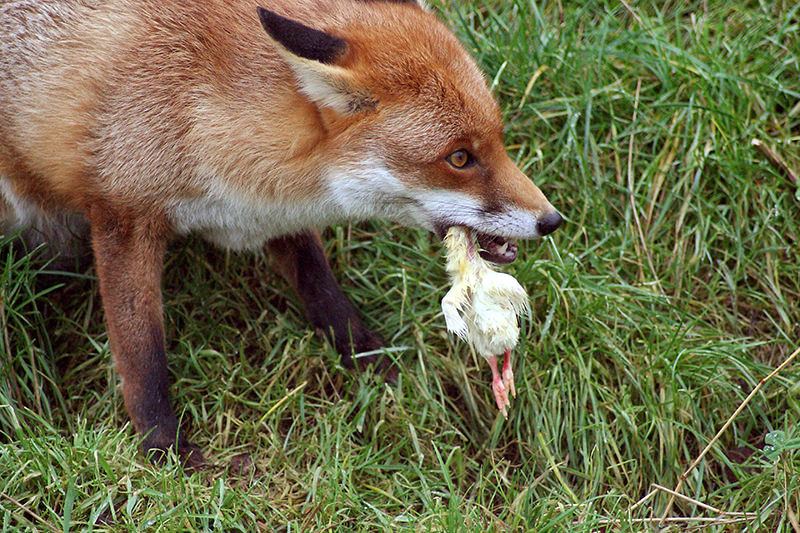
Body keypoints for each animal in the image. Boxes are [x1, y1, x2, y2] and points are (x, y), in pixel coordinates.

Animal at [0, 0, 562, 466]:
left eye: (498, 140)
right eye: (460, 158)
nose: (552, 220)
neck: (194, 109)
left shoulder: (268, 211)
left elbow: (322, 288)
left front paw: (372, 363)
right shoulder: (122, 215)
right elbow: (143, 356)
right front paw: (166, 454)